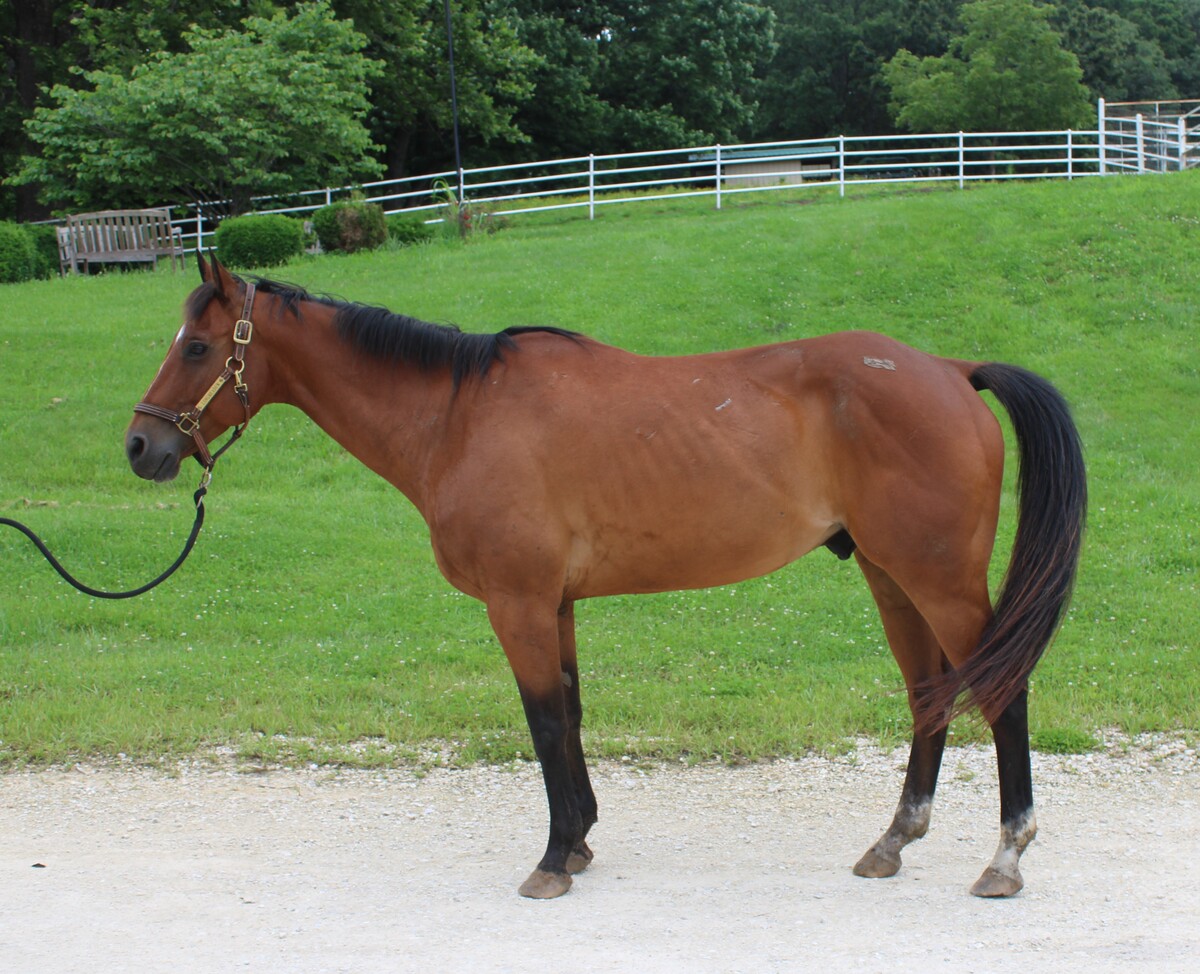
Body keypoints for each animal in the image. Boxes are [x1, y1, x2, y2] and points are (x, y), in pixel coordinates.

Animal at [126, 254, 1086, 900]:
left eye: (200, 346)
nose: (142, 446)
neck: (459, 416)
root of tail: (951, 371)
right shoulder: (555, 605)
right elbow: (574, 715)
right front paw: (581, 840)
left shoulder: (517, 604)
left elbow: (545, 722)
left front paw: (553, 860)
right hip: (891, 578)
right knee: (929, 693)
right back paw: (893, 842)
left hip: (941, 581)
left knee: (1002, 693)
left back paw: (1005, 856)